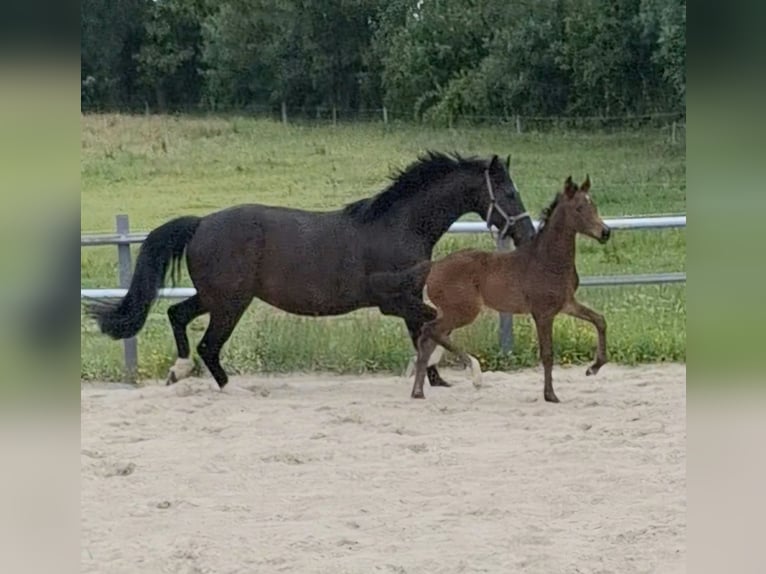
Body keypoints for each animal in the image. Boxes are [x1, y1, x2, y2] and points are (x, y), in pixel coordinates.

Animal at [86, 151, 536, 389]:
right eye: (510, 193)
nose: (528, 234)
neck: (399, 225)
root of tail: (200, 223)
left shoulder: (407, 300)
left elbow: (425, 333)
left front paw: (435, 379)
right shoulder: (394, 300)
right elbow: (431, 326)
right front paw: (469, 372)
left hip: (217, 297)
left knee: (177, 314)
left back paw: (178, 372)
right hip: (230, 302)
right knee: (208, 345)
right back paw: (226, 385)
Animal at [375, 175, 611, 401]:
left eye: (594, 205)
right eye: (579, 208)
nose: (605, 232)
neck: (547, 260)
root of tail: (433, 265)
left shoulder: (566, 304)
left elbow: (599, 320)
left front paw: (594, 367)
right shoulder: (542, 313)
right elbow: (547, 353)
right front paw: (550, 395)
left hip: (451, 311)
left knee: (427, 337)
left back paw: (418, 391)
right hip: (464, 311)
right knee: (430, 330)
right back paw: (474, 373)